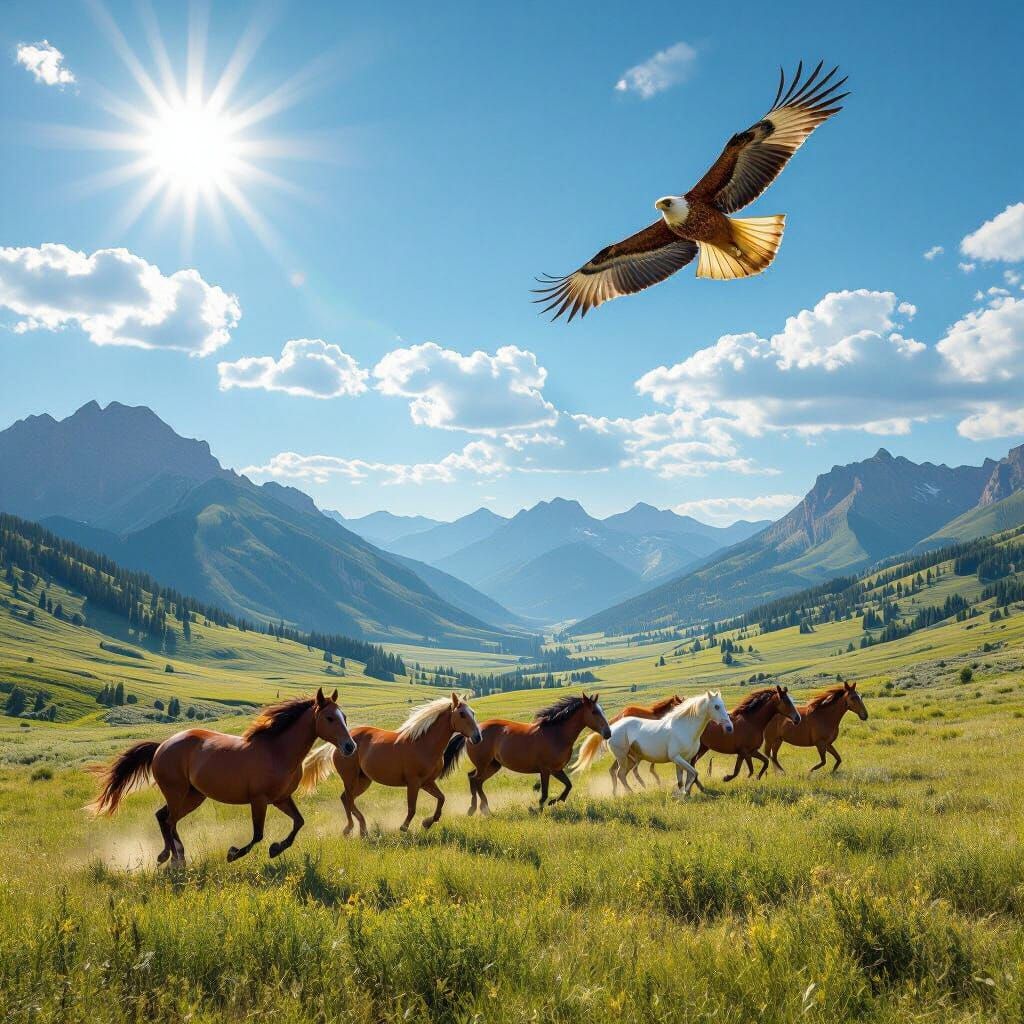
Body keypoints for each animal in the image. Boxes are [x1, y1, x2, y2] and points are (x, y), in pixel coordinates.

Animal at [88, 688, 355, 865]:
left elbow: (299, 822)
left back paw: (169, 856)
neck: (278, 751)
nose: (350, 747)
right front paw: (234, 853)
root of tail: (162, 745)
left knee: (163, 817)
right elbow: (258, 835)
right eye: (330, 718)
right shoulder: (259, 800)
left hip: (193, 796)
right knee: (170, 820)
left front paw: (277, 848)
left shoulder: (281, 799)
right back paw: (175, 860)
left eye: (345, 717)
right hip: (177, 792)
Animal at [301, 691, 481, 835]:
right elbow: (412, 808)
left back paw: (358, 829)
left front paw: (427, 823)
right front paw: (404, 827)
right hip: (350, 778)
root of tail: (342, 743)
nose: (477, 737)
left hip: (364, 780)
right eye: (462, 714)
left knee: (346, 798)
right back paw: (355, 828)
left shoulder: (427, 782)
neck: (424, 744)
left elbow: (441, 799)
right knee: (349, 800)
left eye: (472, 712)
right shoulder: (413, 783)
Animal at [446, 692, 611, 816]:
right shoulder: (545, 770)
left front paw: (554, 802)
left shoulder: (556, 769)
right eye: (594, 712)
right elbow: (544, 793)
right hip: (483, 764)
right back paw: (479, 809)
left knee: (474, 778)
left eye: (602, 710)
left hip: (493, 765)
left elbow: (568, 786)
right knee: (475, 780)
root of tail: (473, 733)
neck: (557, 734)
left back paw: (479, 809)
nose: (608, 733)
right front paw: (537, 809)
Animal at [574, 690, 732, 797]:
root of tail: (612, 727)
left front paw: (682, 793)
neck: (684, 727)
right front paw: (683, 793)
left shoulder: (684, 759)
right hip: (622, 757)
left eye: (723, 705)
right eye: (717, 706)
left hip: (631, 759)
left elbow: (684, 777)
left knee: (622, 773)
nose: (730, 727)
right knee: (620, 774)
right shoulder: (676, 757)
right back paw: (631, 792)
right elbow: (693, 773)